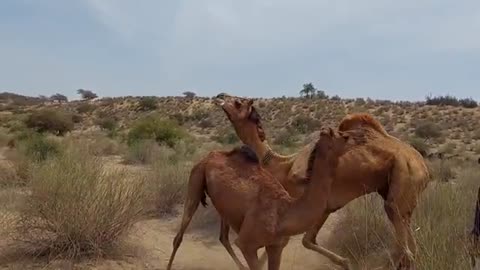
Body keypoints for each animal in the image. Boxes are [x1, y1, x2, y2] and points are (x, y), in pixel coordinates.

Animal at [165, 127, 356, 270]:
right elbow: (244, 247)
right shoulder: (247, 244)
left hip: (224, 208)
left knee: (223, 237)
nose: (356, 137)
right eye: (341, 135)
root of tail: (210, 155)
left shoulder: (276, 247)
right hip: (195, 180)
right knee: (179, 236)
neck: (285, 213)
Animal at [216, 94, 434, 268]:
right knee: (408, 237)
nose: (219, 97)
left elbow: (302, 241)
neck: (283, 166)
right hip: (395, 190)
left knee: (400, 230)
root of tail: (424, 167)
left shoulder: (310, 204)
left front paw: (346, 263)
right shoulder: (323, 207)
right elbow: (304, 240)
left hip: (405, 177)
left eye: (238, 102)